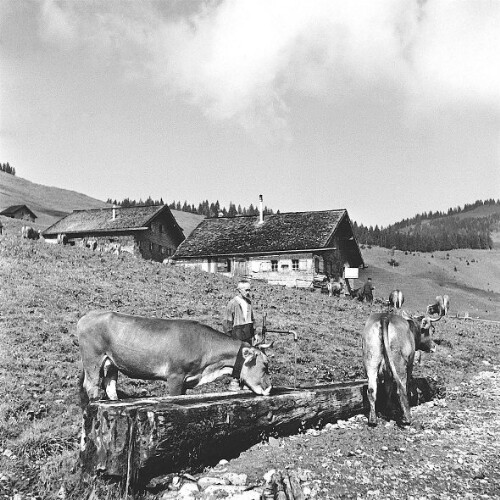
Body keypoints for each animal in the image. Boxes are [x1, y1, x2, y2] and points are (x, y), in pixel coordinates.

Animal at [78, 310, 274, 408]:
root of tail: (88, 315)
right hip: (93, 360)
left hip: (111, 363)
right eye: (265, 365)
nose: (269, 389)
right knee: (91, 385)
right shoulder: (175, 376)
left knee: (109, 385)